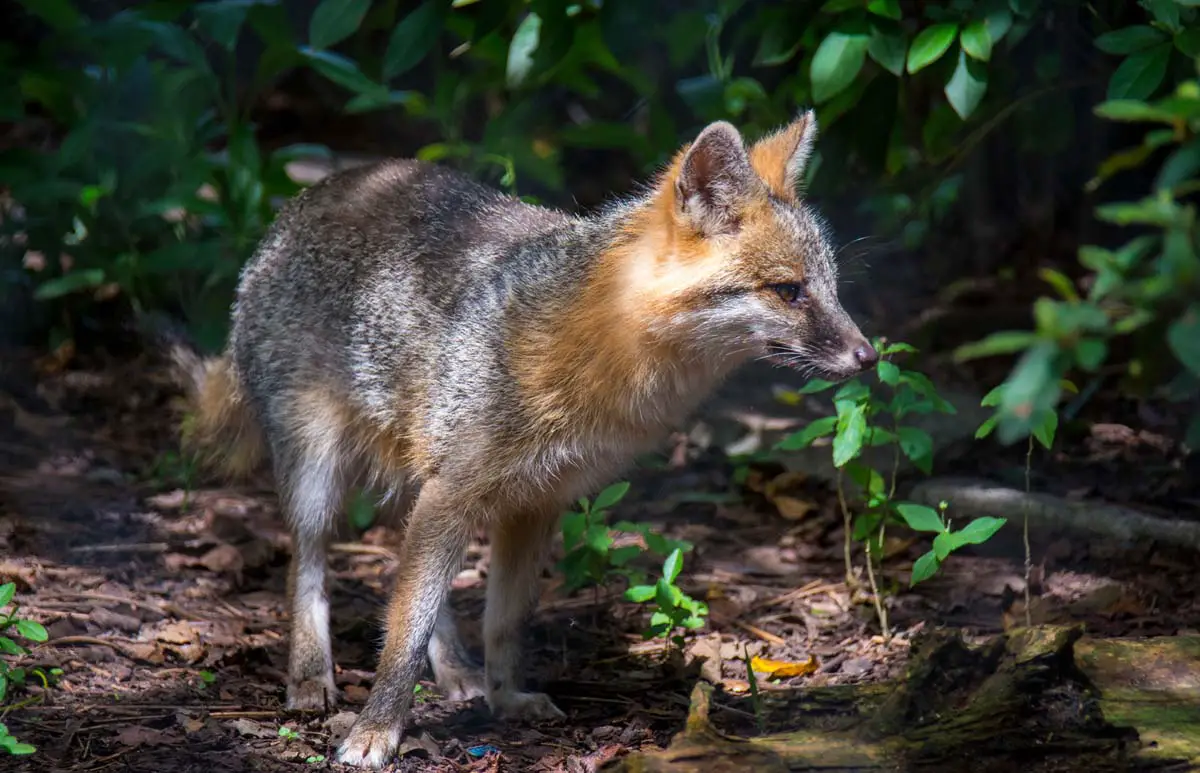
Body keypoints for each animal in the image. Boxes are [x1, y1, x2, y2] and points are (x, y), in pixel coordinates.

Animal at [172, 111, 877, 767]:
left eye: (834, 289)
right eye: (788, 290)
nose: (870, 357)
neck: (599, 346)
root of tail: (309, 199)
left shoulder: (535, 502)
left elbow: (503, 620)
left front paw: (504, 696)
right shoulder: (457, 490)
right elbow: (404, 630)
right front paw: (376, 731)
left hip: (416, 474)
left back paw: (458, 672)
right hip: (320, 474)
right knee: (309, 564)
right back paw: (311, 676)